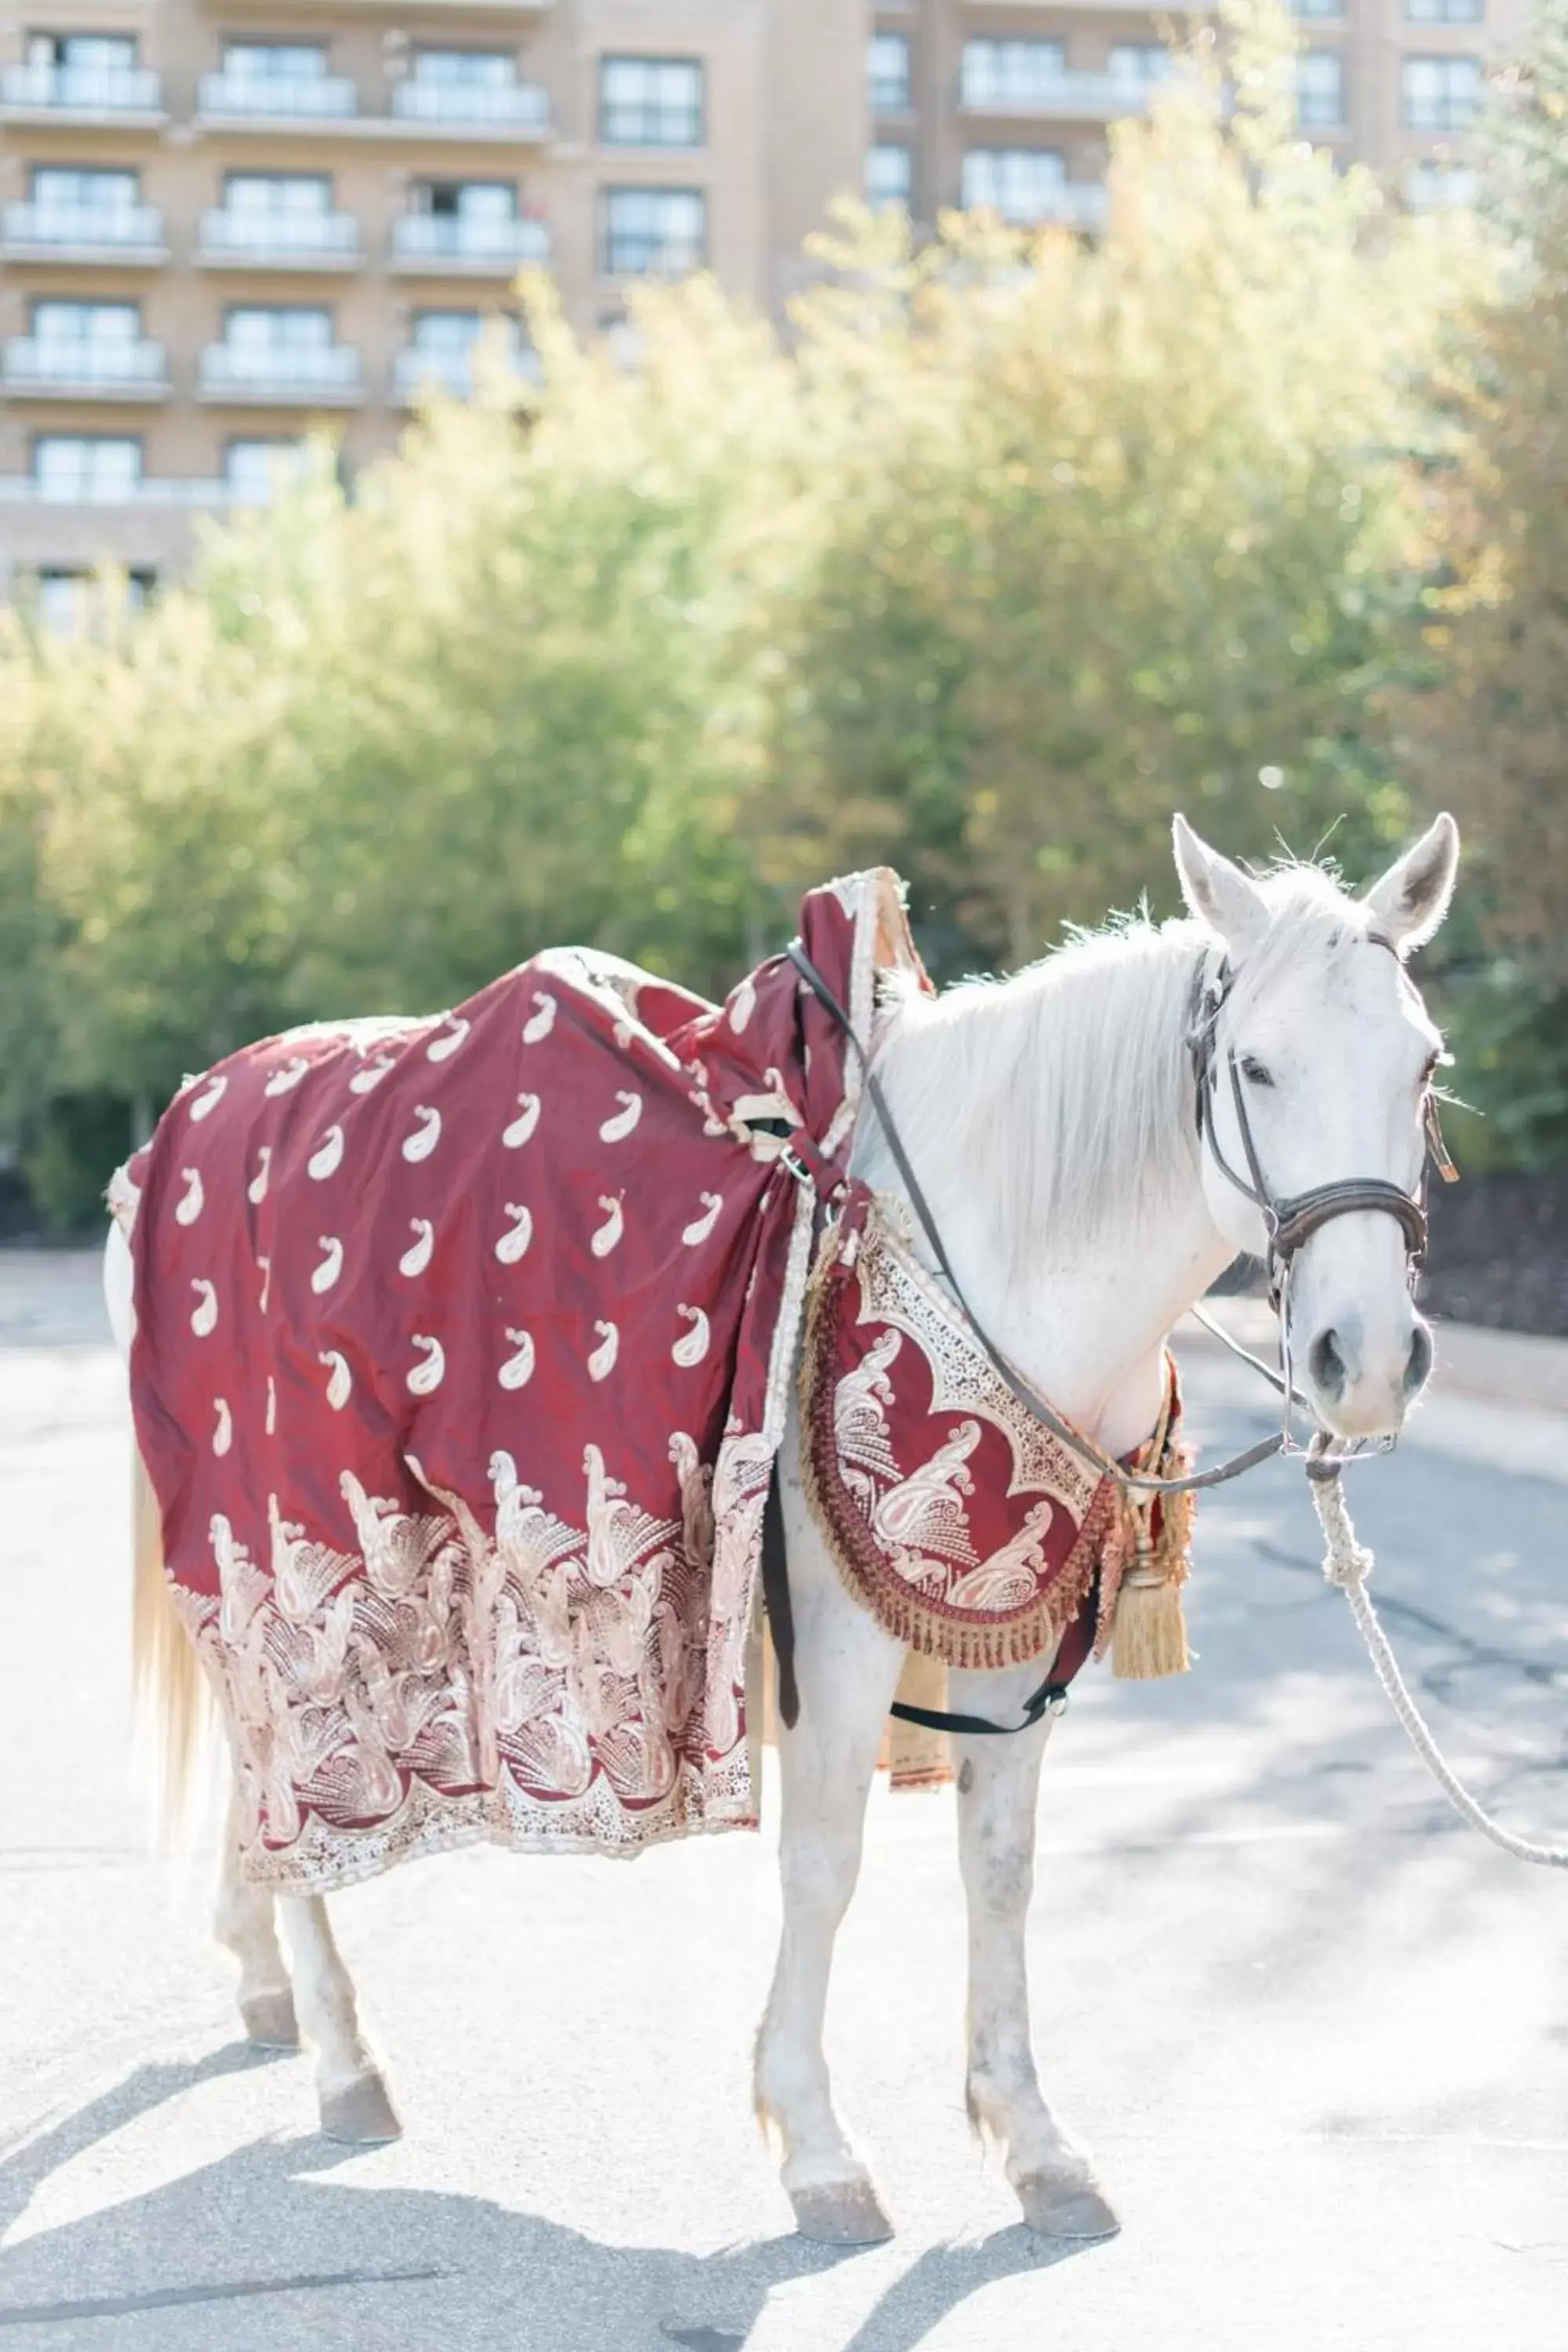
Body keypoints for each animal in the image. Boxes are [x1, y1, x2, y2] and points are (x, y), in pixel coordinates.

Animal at [107, 809, 1457, 2239]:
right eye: (1255, 1066)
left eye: (1424, 1065)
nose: (1367, 1359)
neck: (985, 1252)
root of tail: (178, 1124)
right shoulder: (837, 1638)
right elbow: (825, 1865)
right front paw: (815, 2142)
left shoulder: (1022, 1636)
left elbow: (1002, 1867)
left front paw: (1031, 2136)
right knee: (294, 1770)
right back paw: (340, 2050)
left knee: (256, 1783)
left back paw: (261, 1974)